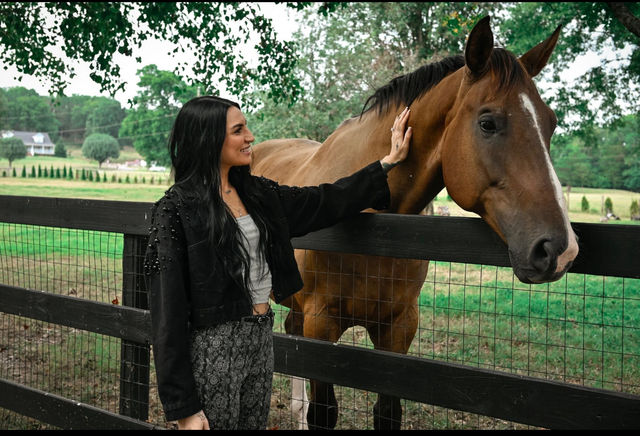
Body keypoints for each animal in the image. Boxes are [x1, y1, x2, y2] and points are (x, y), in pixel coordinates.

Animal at [250, 16, 579, 430]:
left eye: (550, 124)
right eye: (488, 123)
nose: (560, 249)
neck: (376, 227)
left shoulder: (399, 328)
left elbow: (387, 412)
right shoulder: (321, 324)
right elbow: (324, 411)